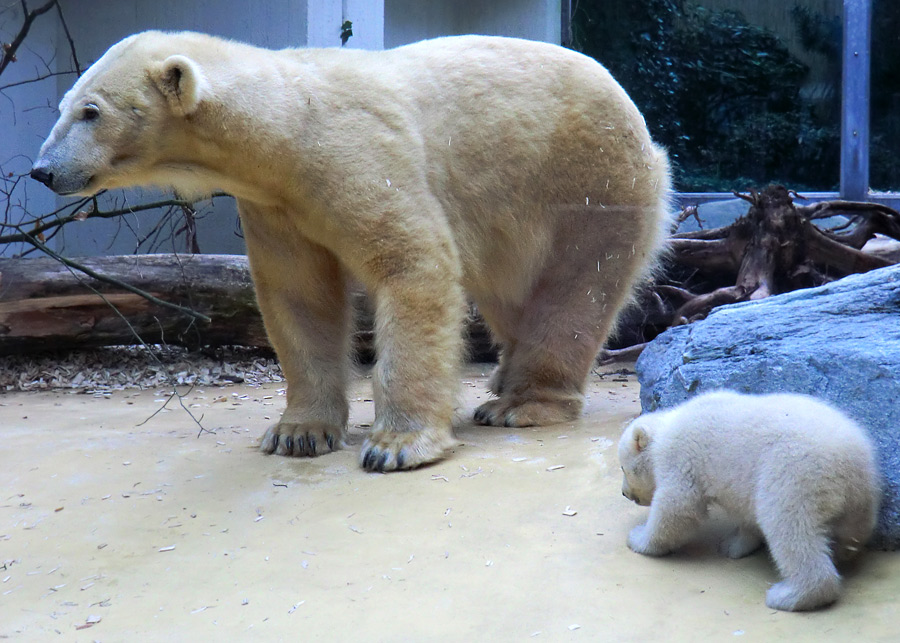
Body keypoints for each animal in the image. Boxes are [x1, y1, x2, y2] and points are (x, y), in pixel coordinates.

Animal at [31, 31, 672, 472]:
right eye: (63, 106)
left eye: (91, 110)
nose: (41, 170)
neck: (289, 123)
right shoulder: (275, 205)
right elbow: (298, 297)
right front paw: (297, 433)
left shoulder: (356, 156)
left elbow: (412, 266)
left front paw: (399, 444)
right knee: (509, 298)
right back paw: (501, 382)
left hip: (587, 180)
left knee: (575, 289)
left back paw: (523, 403)